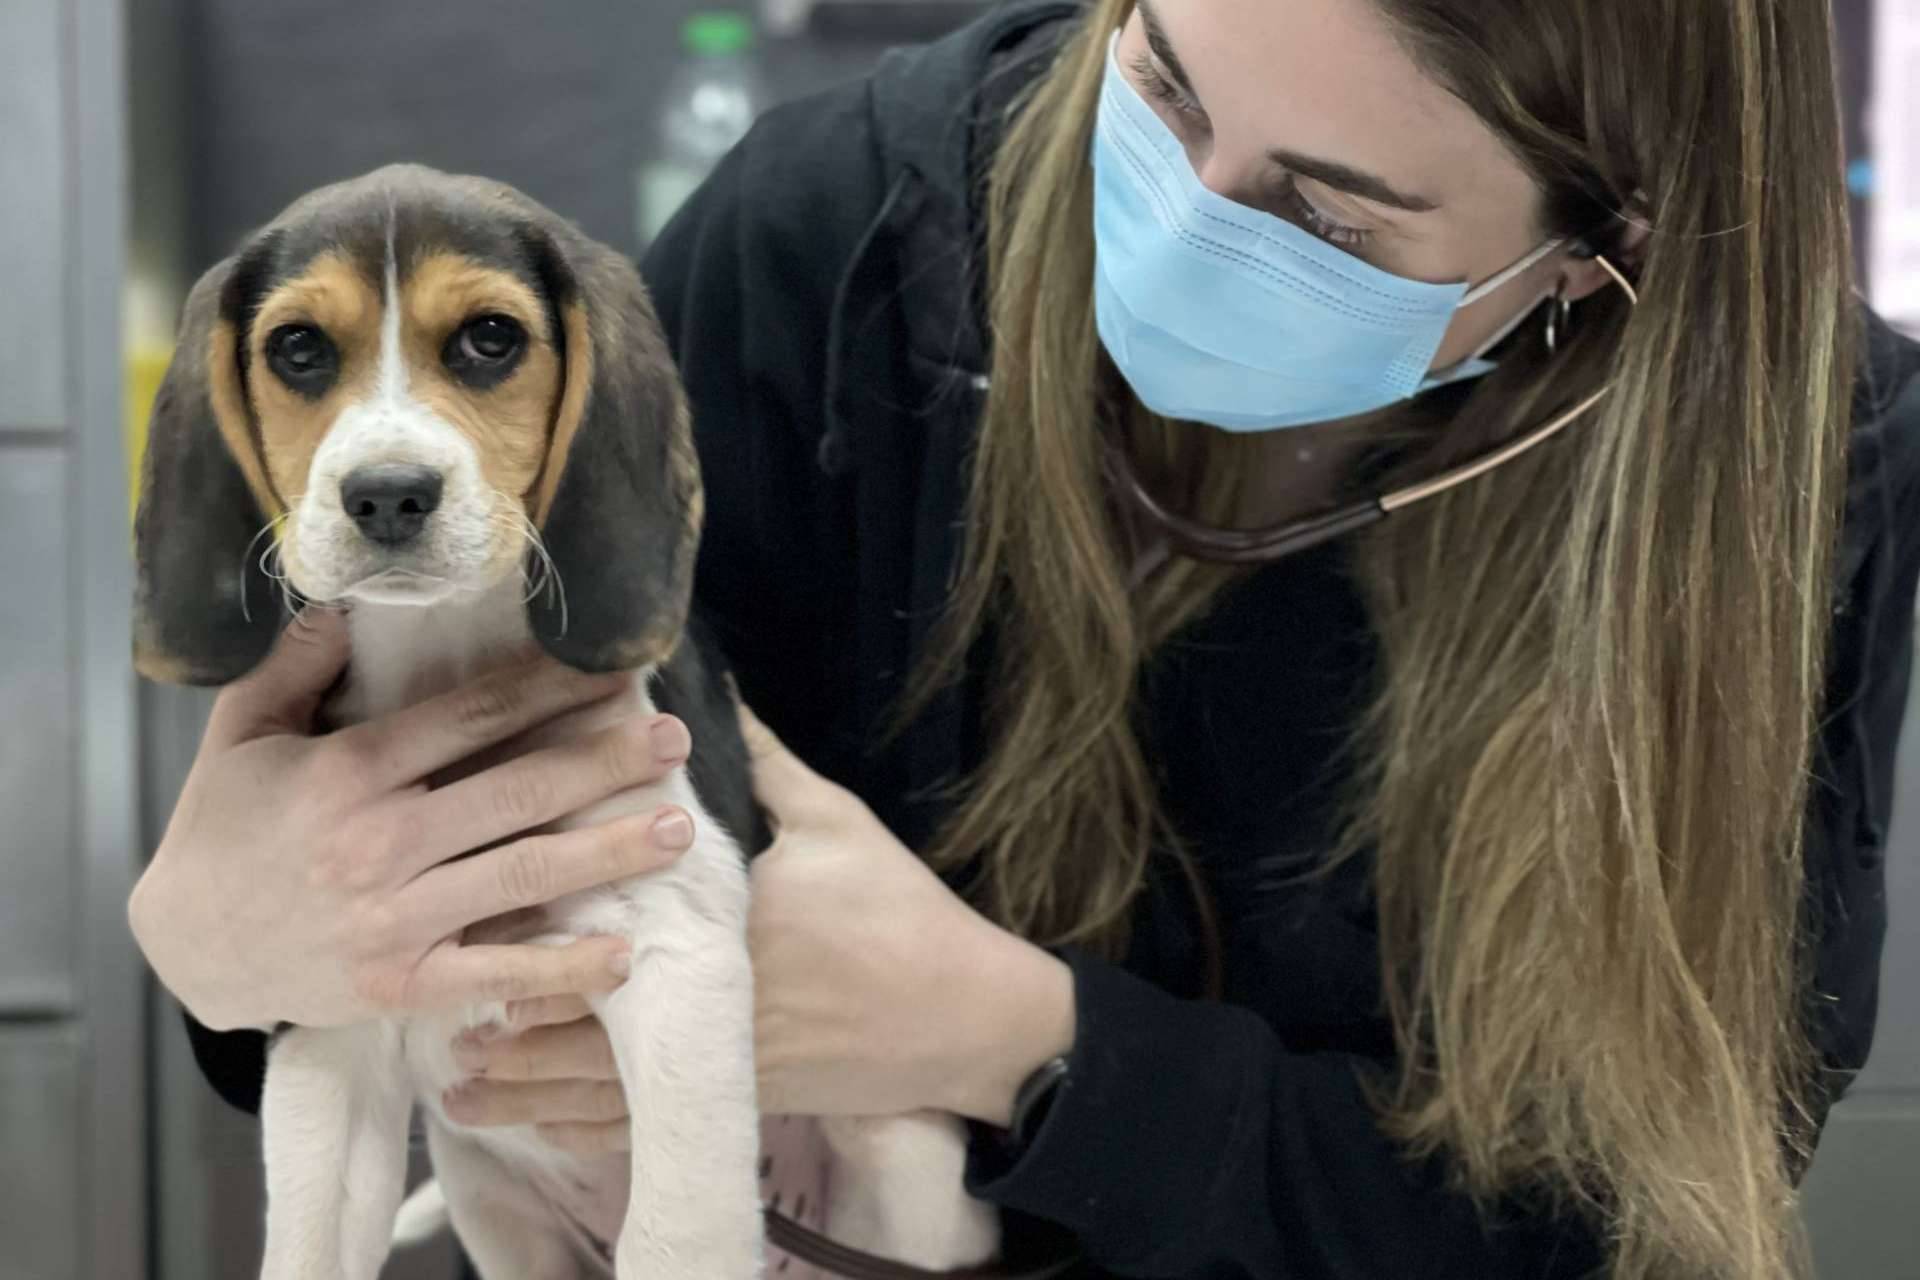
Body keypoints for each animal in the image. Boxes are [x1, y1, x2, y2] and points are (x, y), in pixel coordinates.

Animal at [135, 165, 990, 1280]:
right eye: (299, 349)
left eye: (491, 338)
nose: (388, 494)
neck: (445, 660)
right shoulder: (333, 1016)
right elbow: (309, 1250)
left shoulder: (673, 957)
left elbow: (674, 1236)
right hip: (494, 1202)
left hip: (905, 1155)